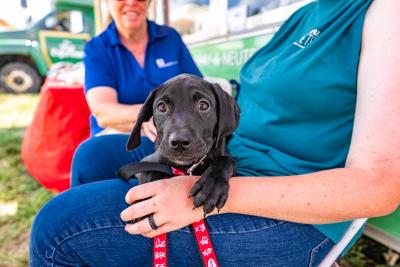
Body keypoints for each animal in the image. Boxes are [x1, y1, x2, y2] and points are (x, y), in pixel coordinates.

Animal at [117, 74, 239, 217]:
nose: (179, 142)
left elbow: (226, 161)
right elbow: (148, 174)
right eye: (161, 107)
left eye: (203, 105)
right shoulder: (148, 161)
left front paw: (210, 188)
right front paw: (144, 201)